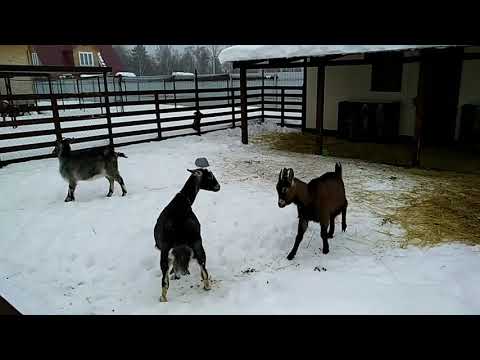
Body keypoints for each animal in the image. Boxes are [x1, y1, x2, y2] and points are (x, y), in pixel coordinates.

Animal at [155, 167, 220, 302]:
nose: (218, 186)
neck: (184, 200)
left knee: (165, 280)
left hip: (171, 249)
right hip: (196, 243)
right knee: (202, 266)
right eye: (210, 176)